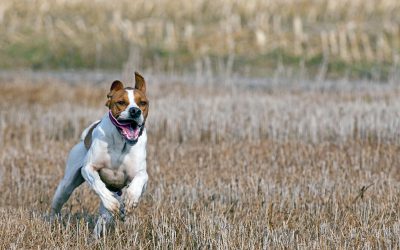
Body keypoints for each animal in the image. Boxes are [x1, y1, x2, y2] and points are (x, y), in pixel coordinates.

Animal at [50, 72, 149, 234]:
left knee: (104, 218)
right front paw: (111, 203)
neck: (121, 143)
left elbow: (140, 179)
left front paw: (130, 200)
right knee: (57, 204)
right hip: (66, 185)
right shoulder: (88, 168)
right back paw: (53, 223)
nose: (135, 111)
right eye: (121, 102)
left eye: (143, 103)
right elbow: (97, 183)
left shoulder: (140, 174)